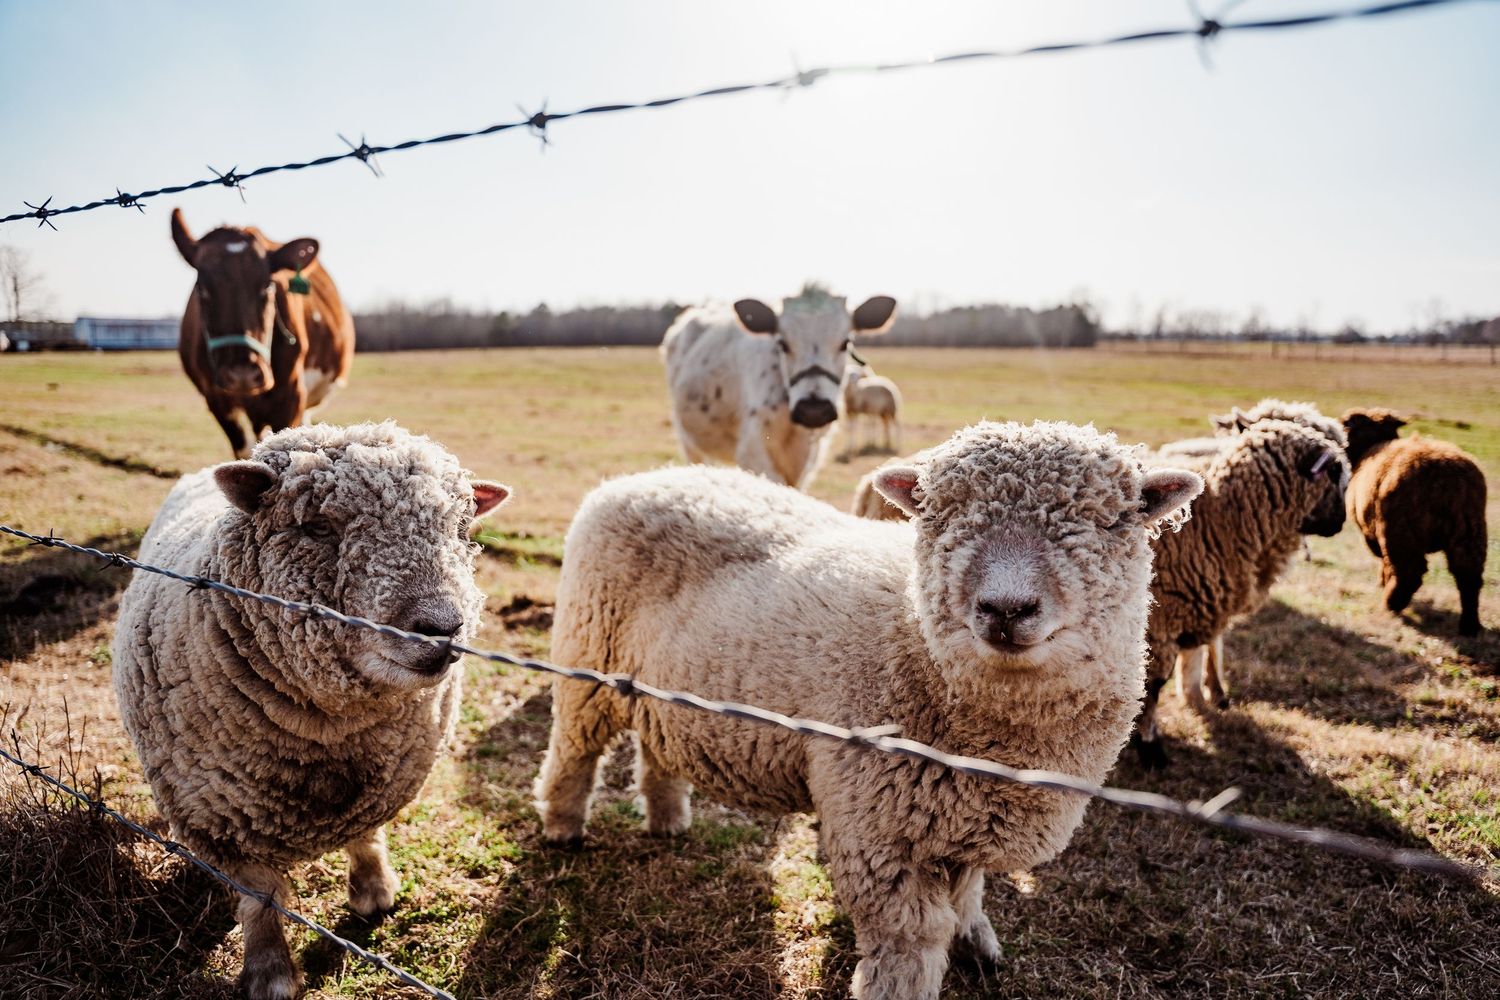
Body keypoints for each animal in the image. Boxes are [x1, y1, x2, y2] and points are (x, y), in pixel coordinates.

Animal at [111, 422, 509, 1000]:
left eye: (461, 528)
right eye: (318, 527)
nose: (441, 627)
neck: (327, 731)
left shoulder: (374, 789)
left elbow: (365, 836)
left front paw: (373, 891)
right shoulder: (224, 820)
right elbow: (261, 899)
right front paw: (271, 971)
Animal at [534, 421, 1203, 1000]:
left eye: (1113, 520)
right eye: (939, 515)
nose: (1006, 608)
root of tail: (645, 477)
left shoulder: (967, 819)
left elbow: (968, 893)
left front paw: (977, 943)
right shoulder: (880, 831)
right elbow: (910, 939)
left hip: (666, 688)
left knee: (657, 744)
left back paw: (668, 817)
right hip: (587, 659)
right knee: (573, 752)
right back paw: (564, 829)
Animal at [660, 287, 896, 488]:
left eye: (845, 343)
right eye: (783, 343)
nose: (814, 409)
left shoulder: (807, 458)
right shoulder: (752, 451)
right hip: (689, 441)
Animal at [1133, 420, 1349, 768]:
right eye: (1333, 473)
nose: (1340, 523)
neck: (1222, 517)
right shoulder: (1161, 622)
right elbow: (1152, 686)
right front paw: (1150, 746)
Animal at [1342, 408, 1487, 636]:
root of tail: (1447, 478)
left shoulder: (1372, 533)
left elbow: (1384, 562)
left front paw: (1383, 581)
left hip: (1400, 532)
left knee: (1410, 573)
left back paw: (1391, 604)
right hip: (1470, 531)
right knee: (1469, 576)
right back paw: (1469, 626)